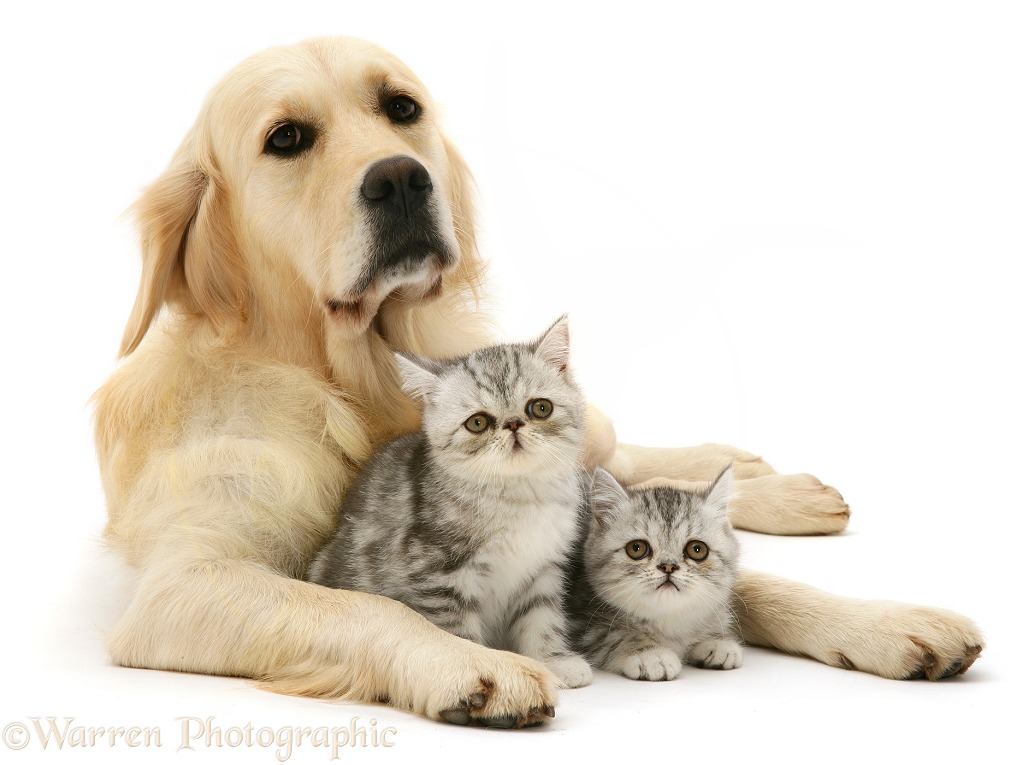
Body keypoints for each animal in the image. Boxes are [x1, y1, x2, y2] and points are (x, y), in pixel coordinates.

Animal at [306, 314, 596, 686]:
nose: (514, 425)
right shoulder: (437, 571)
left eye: (540, 408)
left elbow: (541, 618)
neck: (518, 498)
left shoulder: (543, 568)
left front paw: (553, 660)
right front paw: (479, 663)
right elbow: (456, 631)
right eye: (478, 423)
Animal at [567, 466, 744, 682]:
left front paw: (715, 640)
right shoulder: (583, 624)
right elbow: (617, 635)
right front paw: (650, 654)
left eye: (697, 549)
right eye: (636, 548)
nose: (668, 566)